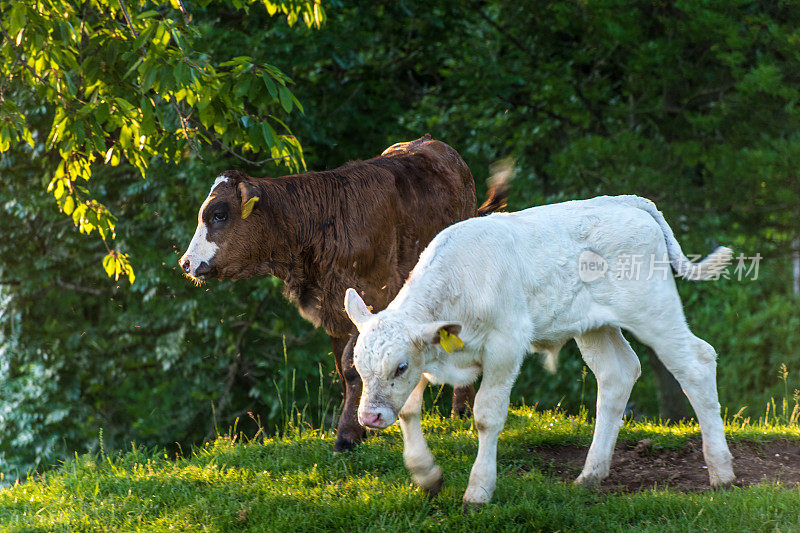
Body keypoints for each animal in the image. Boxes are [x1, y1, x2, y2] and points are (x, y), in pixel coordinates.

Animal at [180, 136, 506, 448]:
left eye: (219, 215)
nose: (185, 262)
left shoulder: (374, 296)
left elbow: (352, 365)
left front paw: (348, 434)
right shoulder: (335, 310)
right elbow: (343, 366)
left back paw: (461, 408)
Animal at [346, 194, 736, 508]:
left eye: (399, 366)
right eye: (359, 367)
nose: (369, 418)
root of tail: (625, 201)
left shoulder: (505, 346)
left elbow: (486, 416)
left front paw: (478, 491)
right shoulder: (431, 354)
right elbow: (409, 410)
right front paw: (426, 474)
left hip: (653, 308)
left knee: (697, 362)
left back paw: (722, 472)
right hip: (595, 326)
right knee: (618, 374)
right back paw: (591, 474)